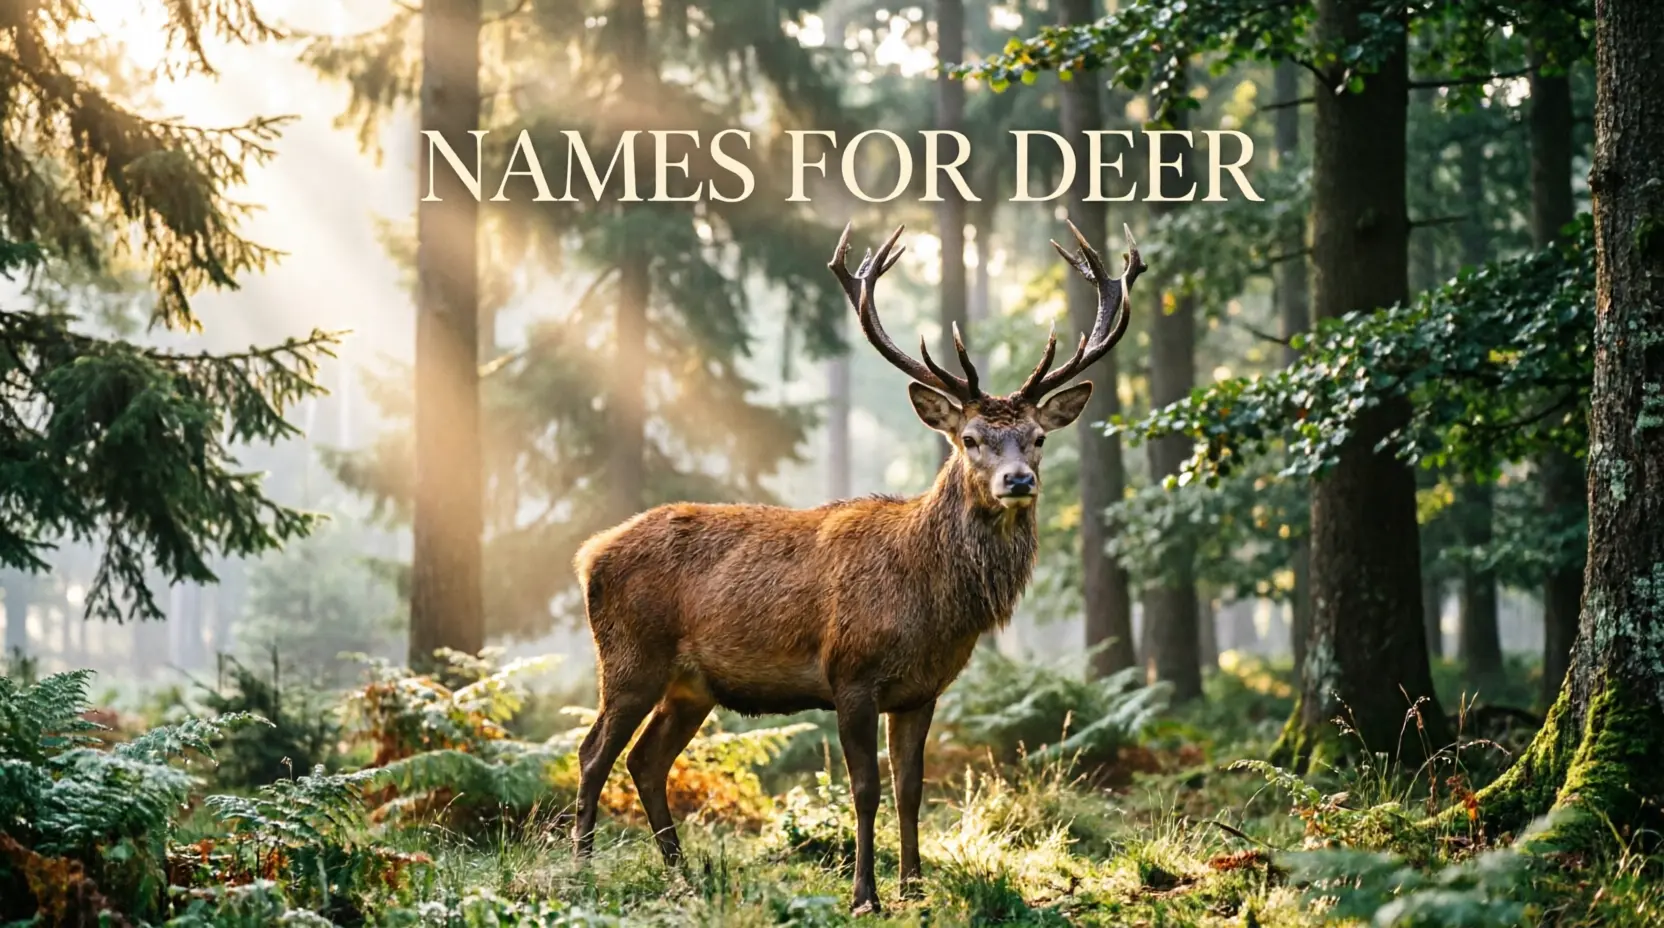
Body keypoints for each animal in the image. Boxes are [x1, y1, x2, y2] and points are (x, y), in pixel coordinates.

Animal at [570, 220, 1145, 914]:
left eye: (1037, 437)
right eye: (970, 439)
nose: (1018, 481)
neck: (931, 606)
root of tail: (588, 554)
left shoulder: (922, 690)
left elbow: (911, 788)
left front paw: (915, 888)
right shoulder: (851, 674)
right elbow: (864, 788)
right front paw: (865, 894)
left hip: (691, 686)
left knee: (647, 761)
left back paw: (683, 879)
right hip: (630, 657)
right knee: (592, 752)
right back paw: (580, 874)